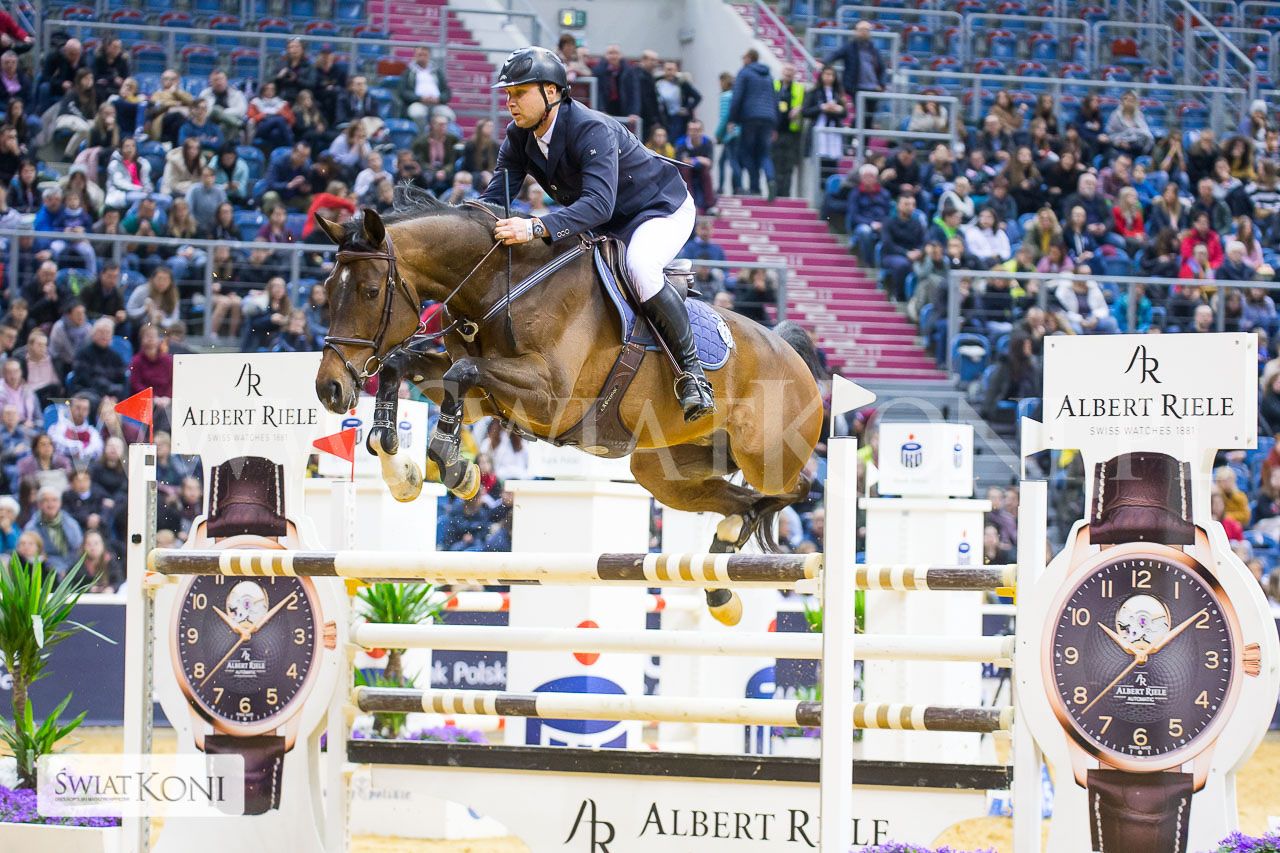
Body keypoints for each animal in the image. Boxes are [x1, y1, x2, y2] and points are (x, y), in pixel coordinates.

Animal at [313, 196, 825, 626]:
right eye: (327, 287)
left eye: (370, 291)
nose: (330, 389)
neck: (500, 286)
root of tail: (792, 352)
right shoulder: (482, 398)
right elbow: (405, 365)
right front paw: (402, 469)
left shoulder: (551, 397)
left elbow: (462, 371)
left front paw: (452, 466)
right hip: (664, 469)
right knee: (734, 500)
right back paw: (723, 575)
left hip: (765, 458)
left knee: (796, 487)